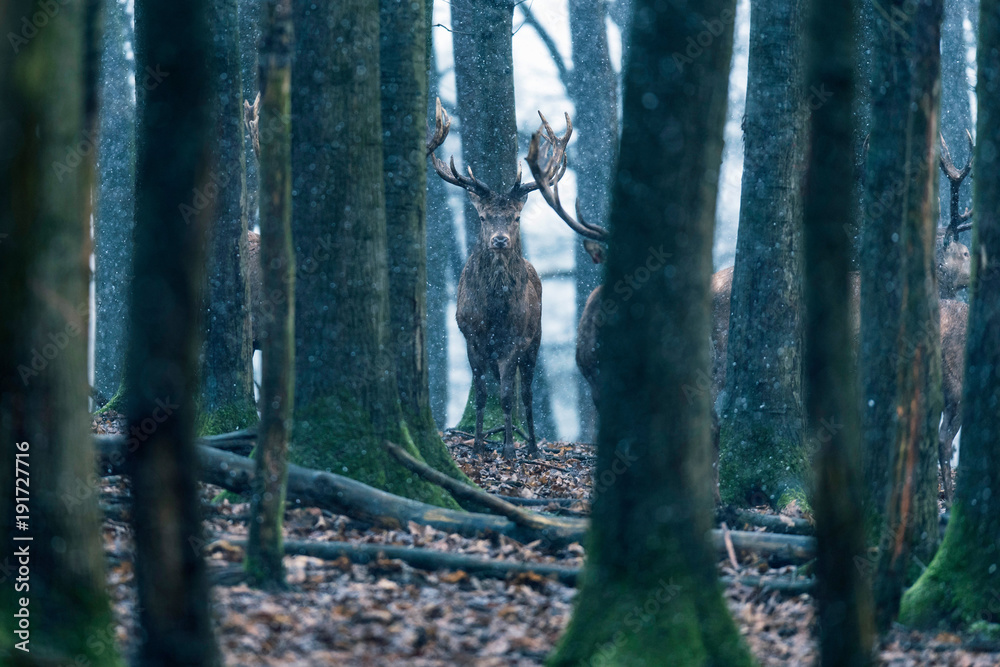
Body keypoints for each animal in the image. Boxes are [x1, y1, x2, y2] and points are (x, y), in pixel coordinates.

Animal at [426, 99, 569, 460]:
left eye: (516, 217)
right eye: (482, 216)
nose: (500, 240)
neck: (493, 313)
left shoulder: (514, 341)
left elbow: (506, 396)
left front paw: (507, 448)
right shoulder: (470, 337)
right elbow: (480, 394)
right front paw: (478, 445)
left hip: (536, 338)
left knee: (527, 392)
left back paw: (531, 446)